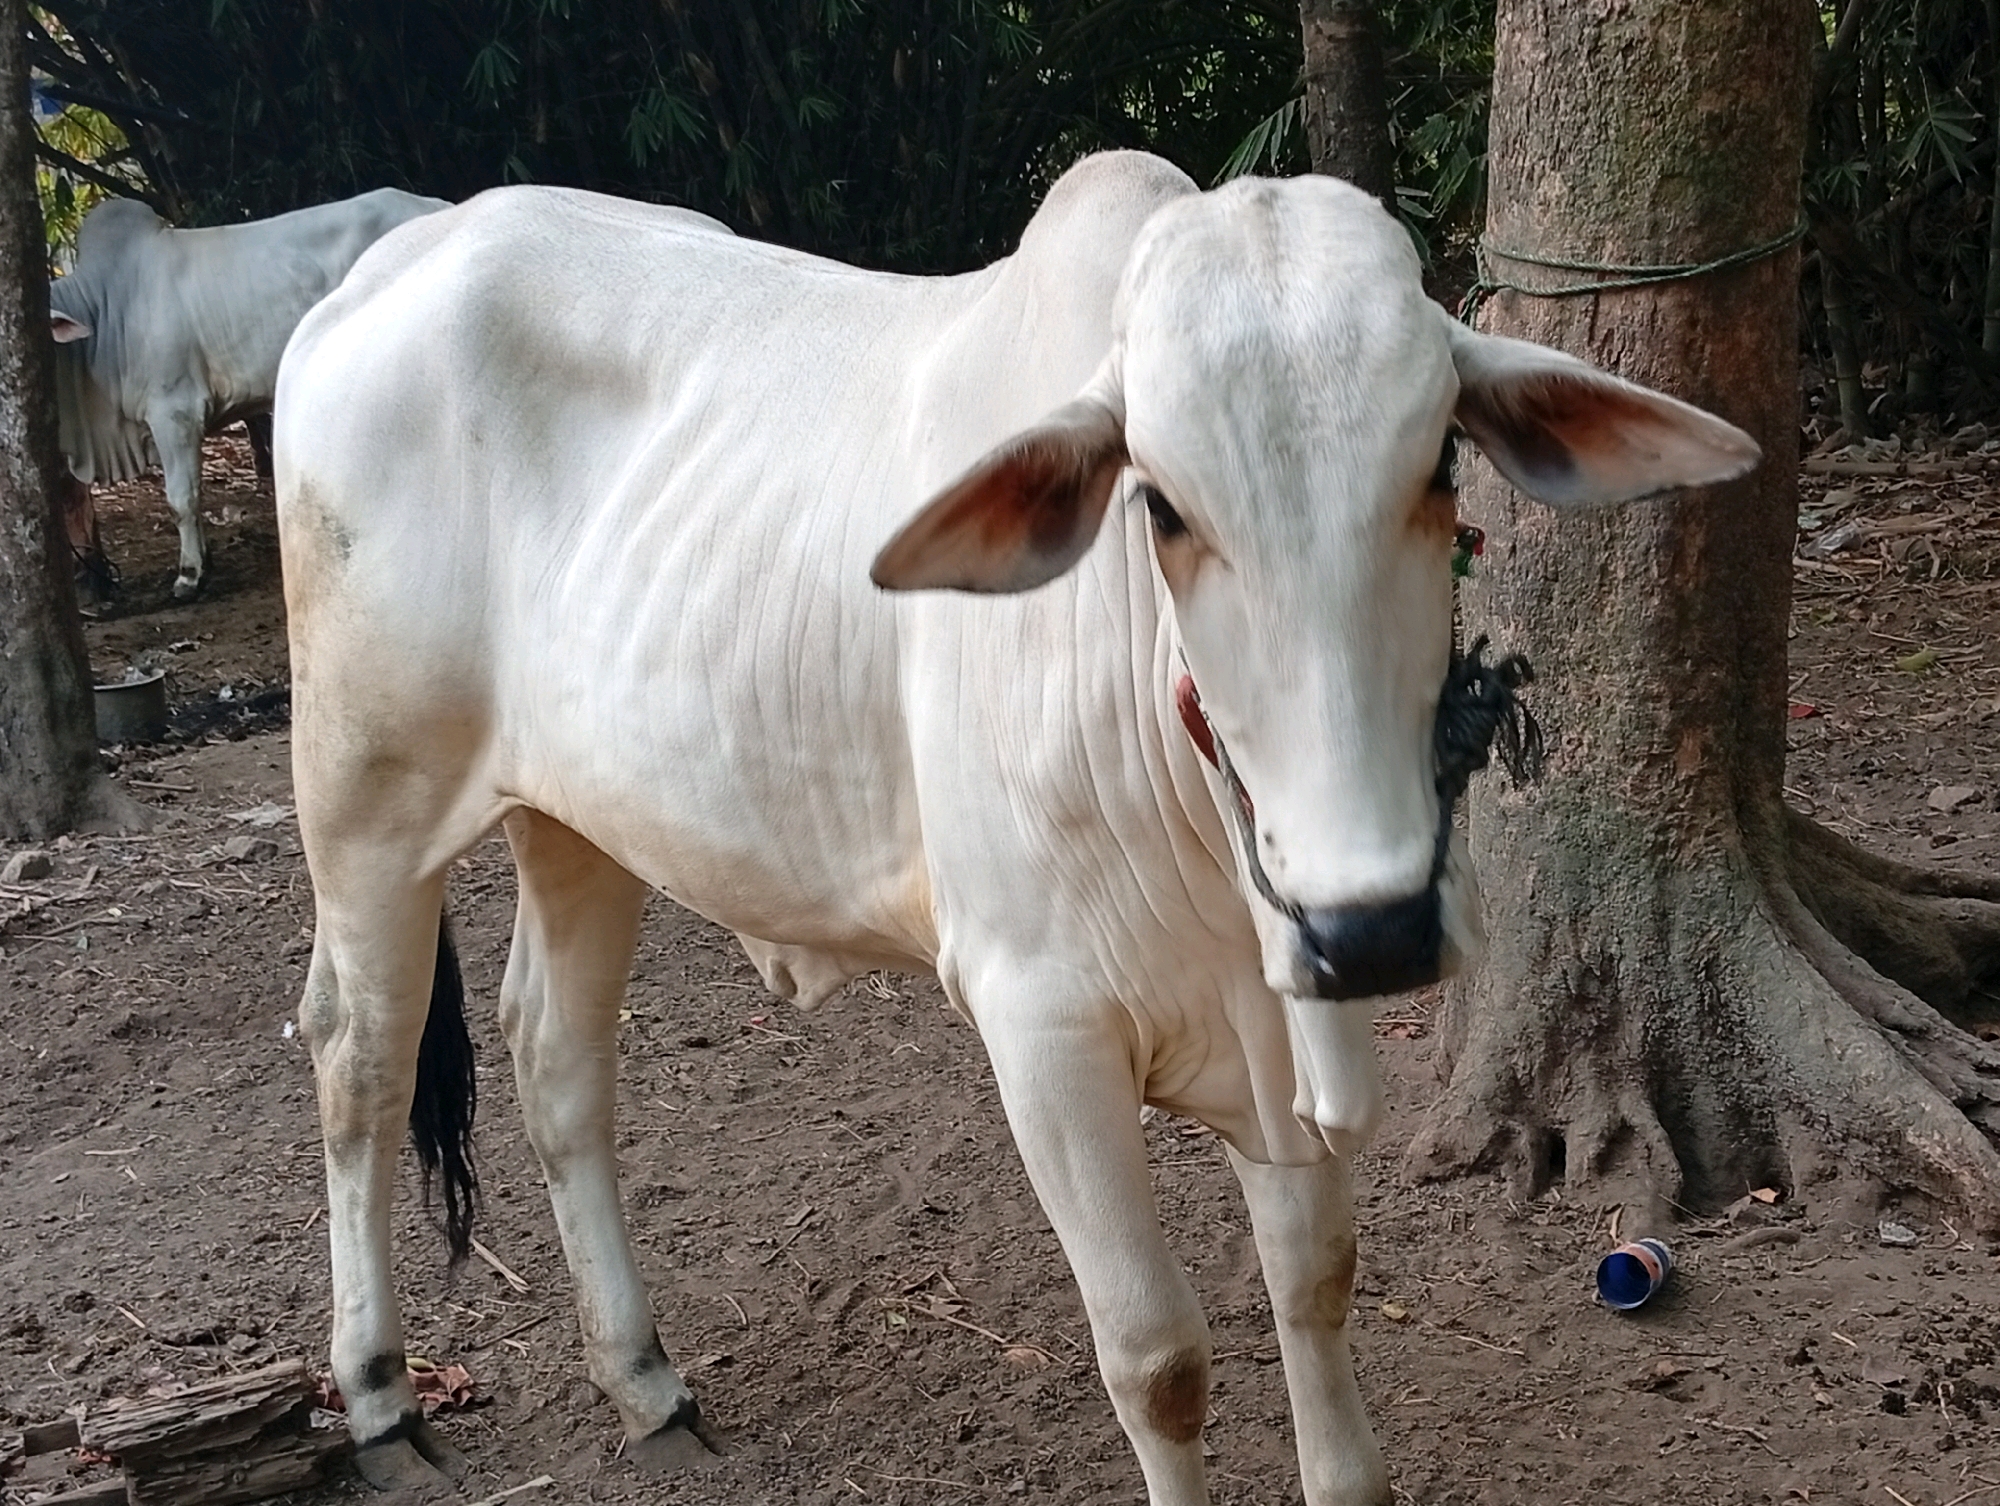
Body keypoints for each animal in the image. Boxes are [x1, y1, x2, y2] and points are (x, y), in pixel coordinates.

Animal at [275, 153, 1758, 1504]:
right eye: (1158, 503)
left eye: (1441, 459)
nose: (1369, 925)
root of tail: (390, 262)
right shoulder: (1041, 1028)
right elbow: (1157, 1359)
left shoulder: (1275, 1032)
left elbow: (1318, 1289)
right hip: (365, 798)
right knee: (357, 1053)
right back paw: (379, 1396)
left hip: (576, 822)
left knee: (555, 1058)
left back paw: (645, 1380)